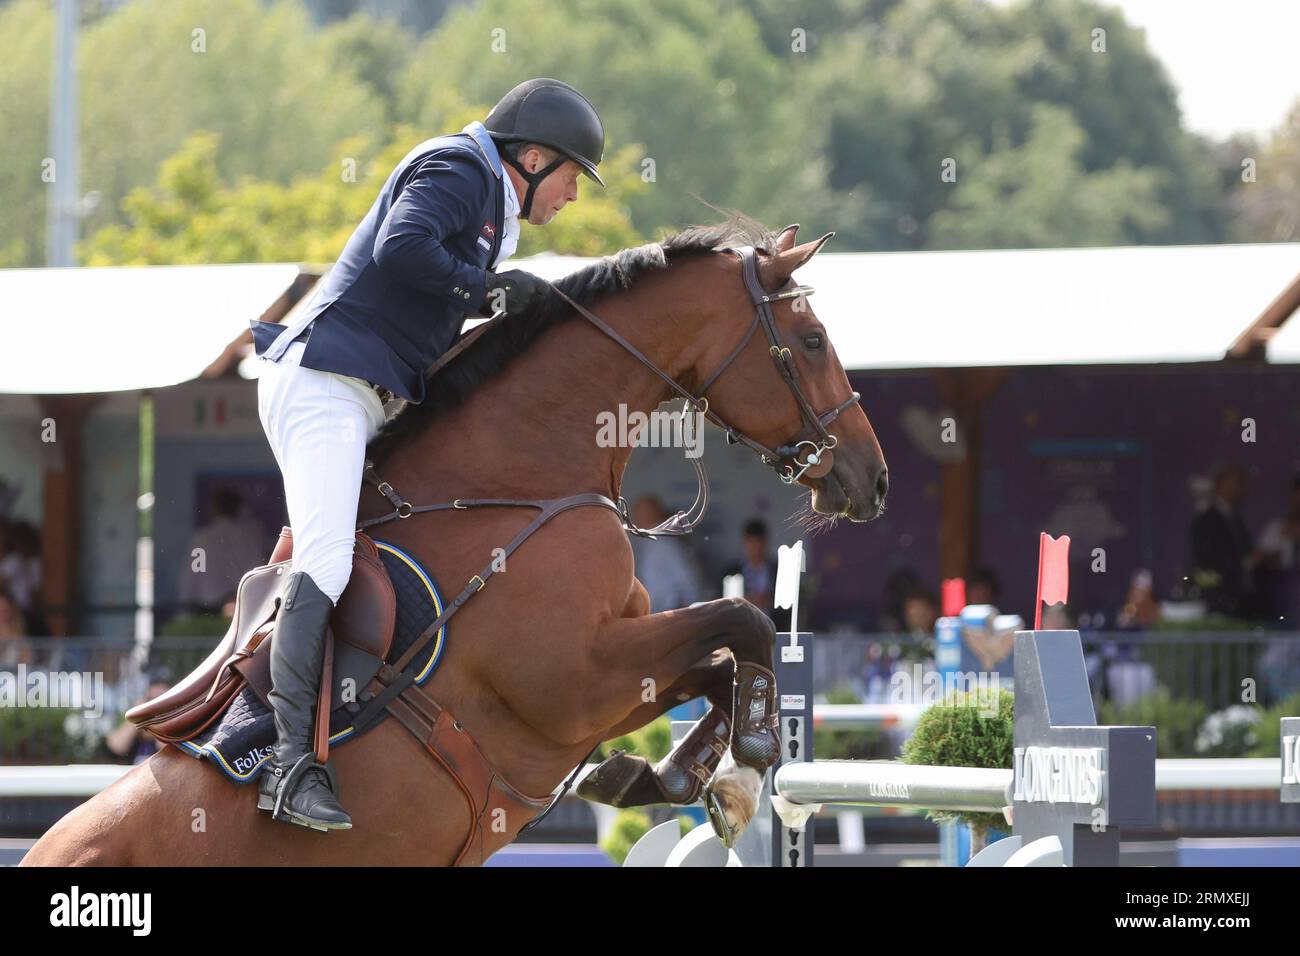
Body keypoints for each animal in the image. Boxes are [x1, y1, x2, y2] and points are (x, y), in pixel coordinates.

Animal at [20, 218, 889, 868]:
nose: (871, 478)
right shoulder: (574, 680)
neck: (521, 477)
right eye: (813, 339)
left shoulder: (610, 678)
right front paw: (750, 754)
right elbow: (743, 623)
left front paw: (661, 775)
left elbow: (717, 663)